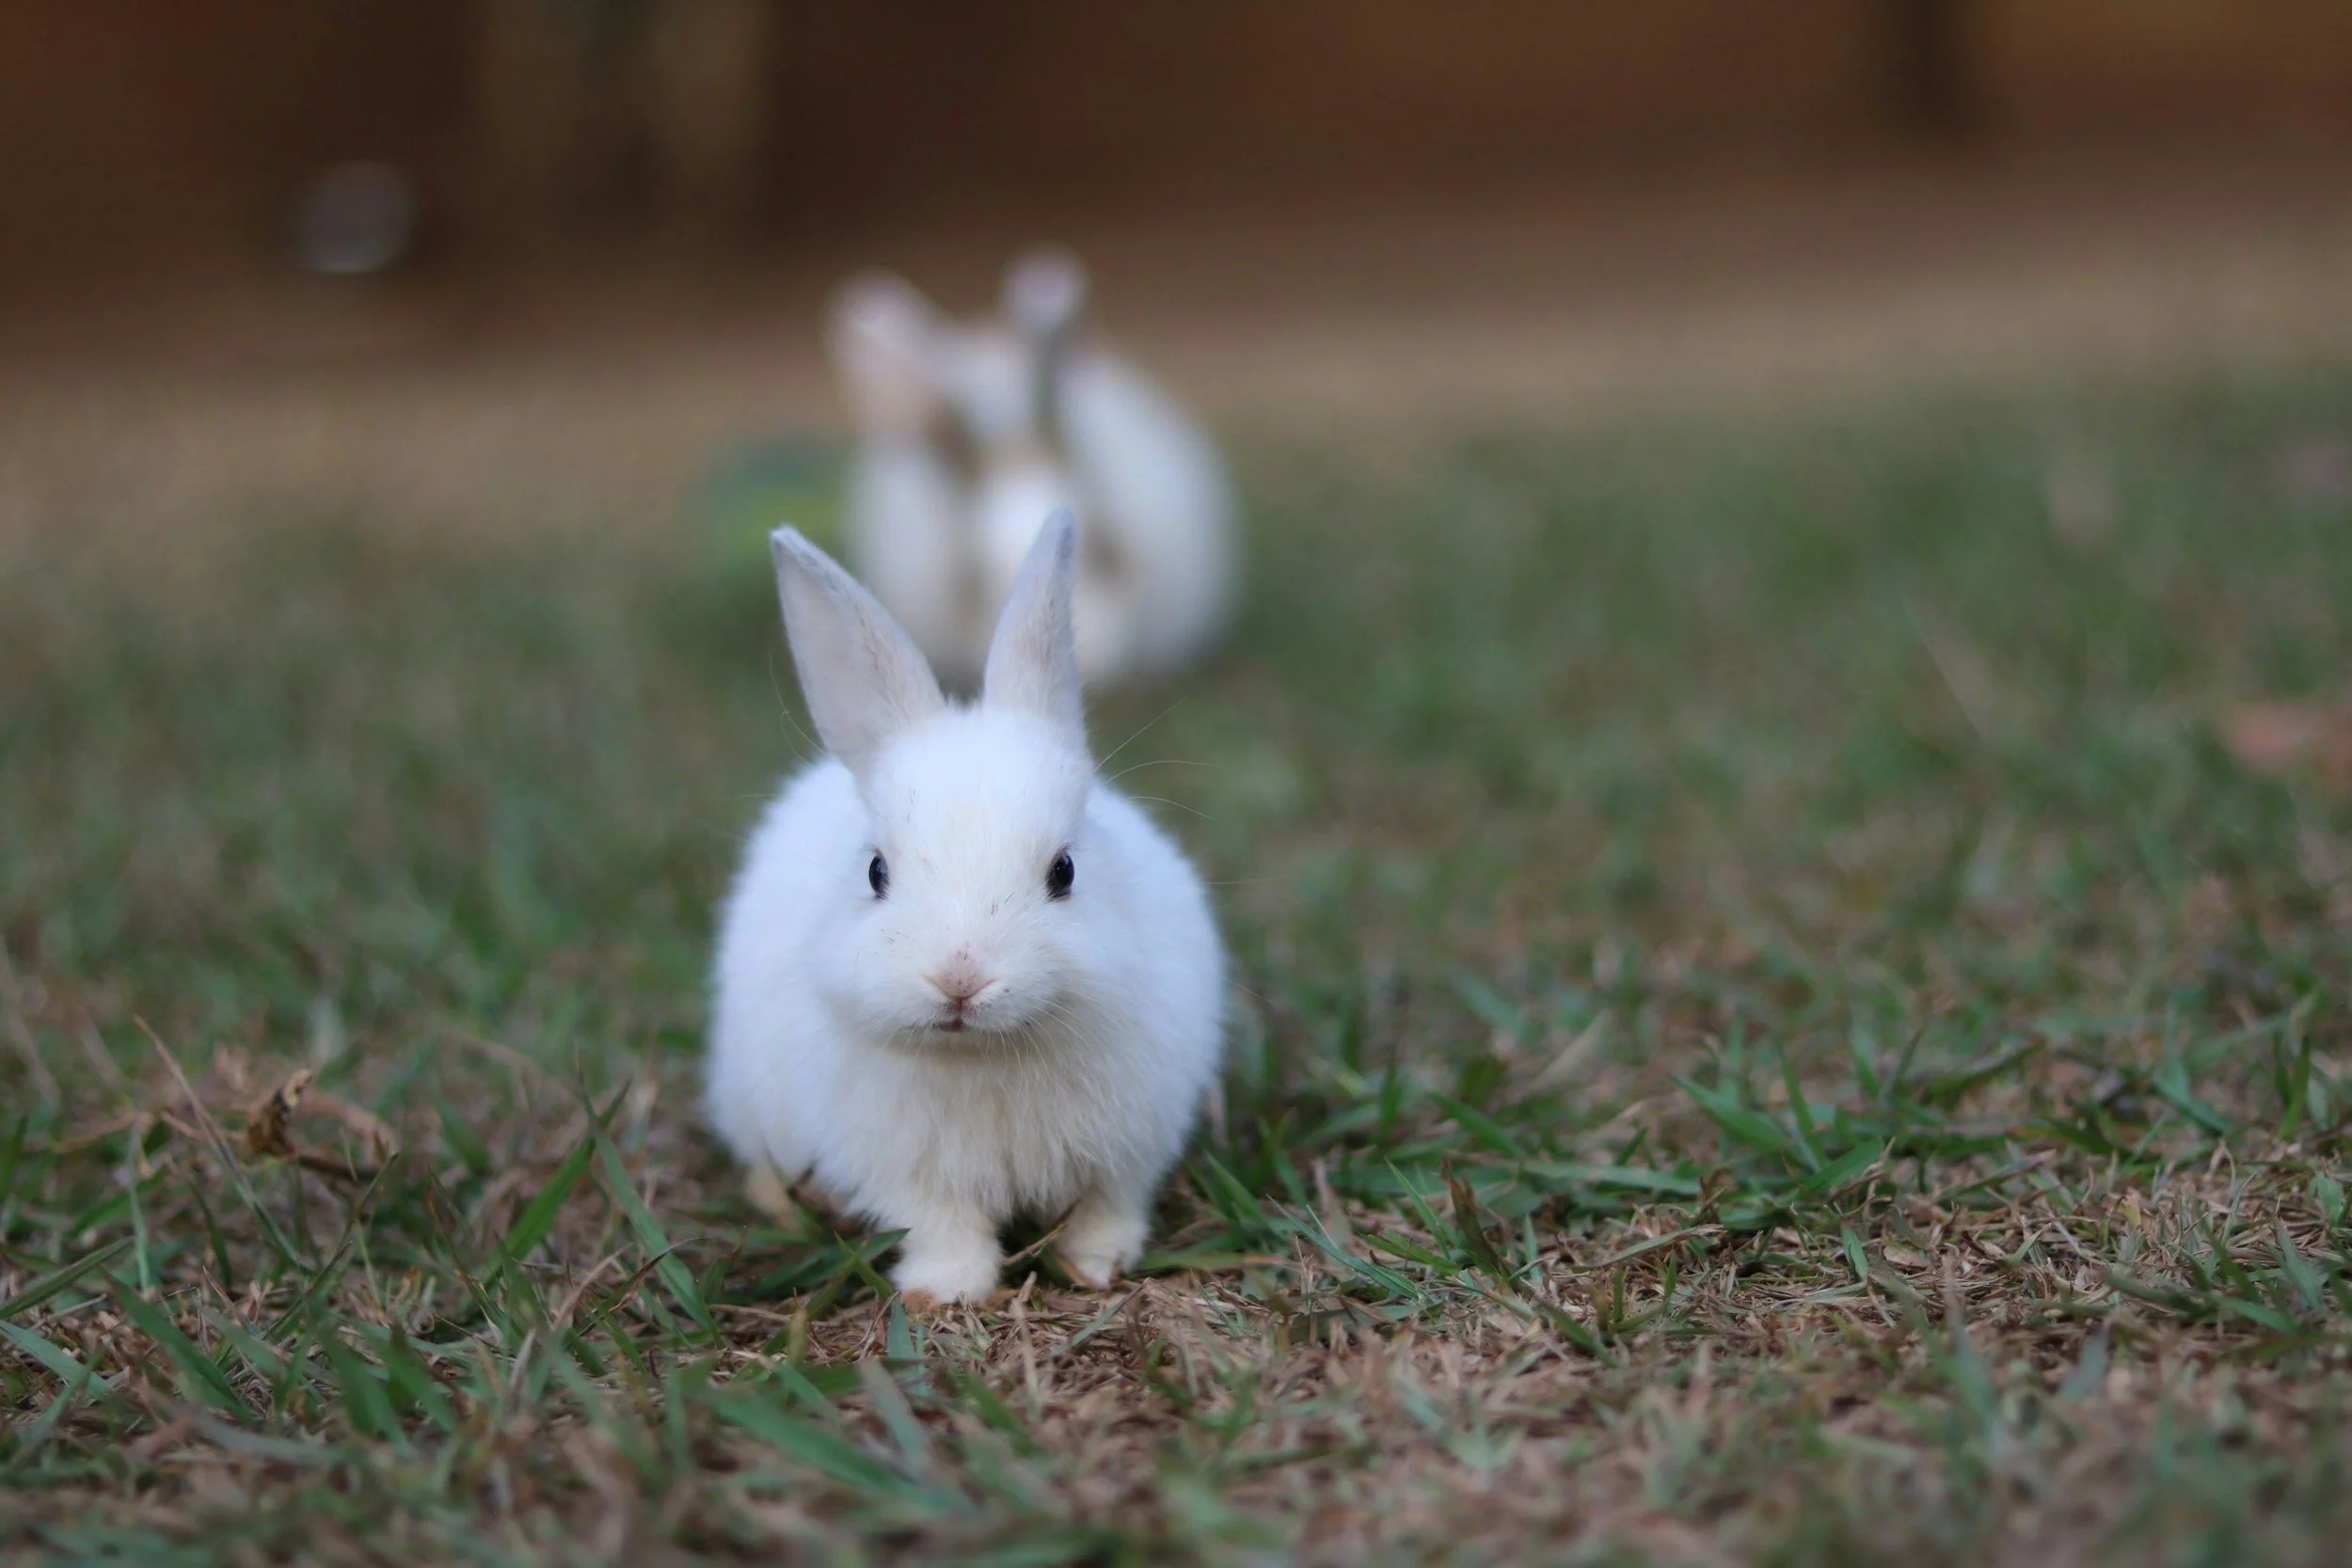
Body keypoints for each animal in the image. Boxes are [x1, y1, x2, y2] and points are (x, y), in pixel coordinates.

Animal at [705, 510, 1227, 1307]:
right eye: (876, 871)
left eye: (1064, 870)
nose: (959, 979)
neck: (985, 1050)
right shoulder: (903, 1172)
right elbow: (938, 1225)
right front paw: (946, 1291)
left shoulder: (1127, 1153)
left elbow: (1106, 1210)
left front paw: (1096, 1266)